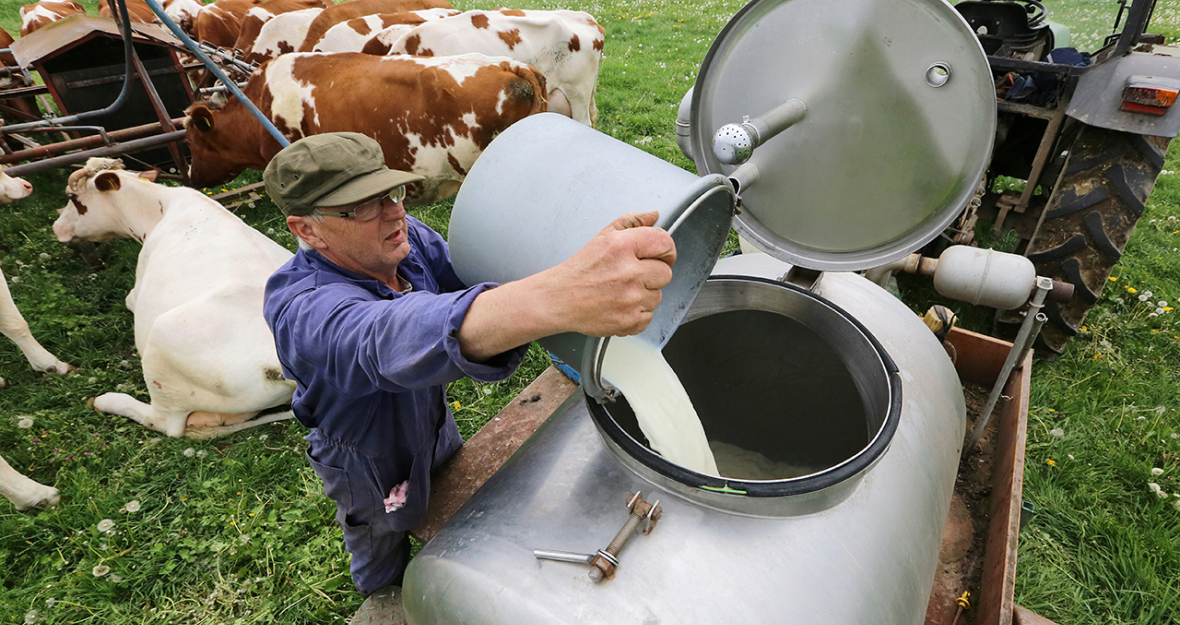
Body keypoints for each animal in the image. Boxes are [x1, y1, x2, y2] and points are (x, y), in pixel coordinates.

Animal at [53, 155, 297, 438]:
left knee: (164, 422)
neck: (157, 209)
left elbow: (128, 298)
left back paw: (108, 400)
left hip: (162, 351)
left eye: (72, 197)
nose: (56, 226)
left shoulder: (138, 287)